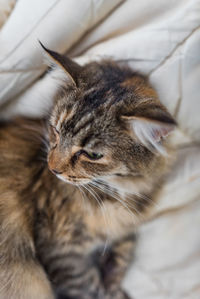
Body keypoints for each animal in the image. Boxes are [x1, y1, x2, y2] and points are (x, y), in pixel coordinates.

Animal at [0, 44, 175, 299]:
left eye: (92, 155)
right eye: (55, 130)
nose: (53, 168)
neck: (115, 190)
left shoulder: (125, 227)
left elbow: (125, 249)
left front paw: (113, 280)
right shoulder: (60, 247)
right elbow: (88, 287)